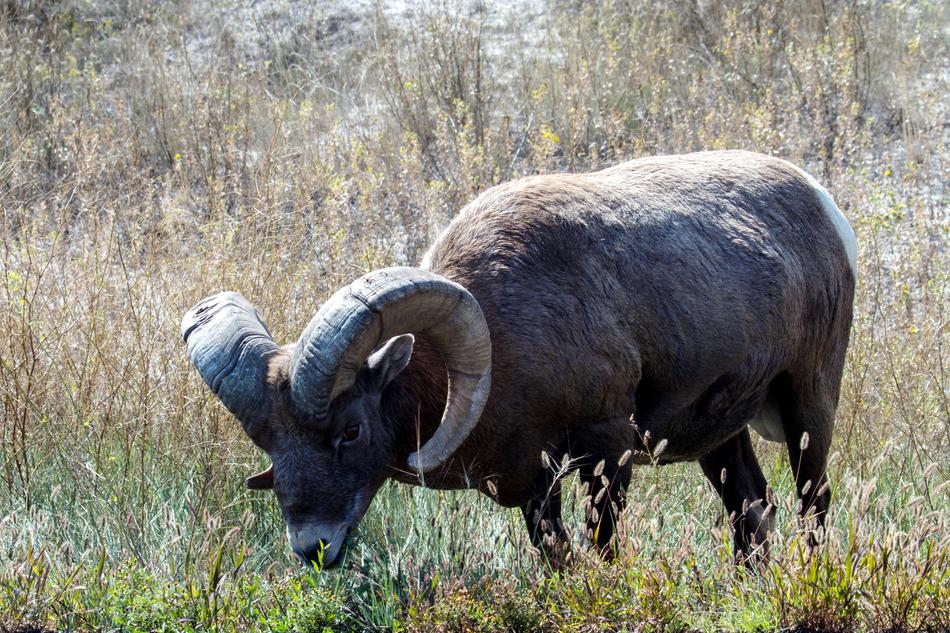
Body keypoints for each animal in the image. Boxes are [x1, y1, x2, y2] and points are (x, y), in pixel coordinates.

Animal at [182, 150, 856, 566]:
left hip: (808, 404)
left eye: (350, 430)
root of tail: (824, 206)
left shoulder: (606, 454)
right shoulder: (536, 488)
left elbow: (603, 548)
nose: (312, 548)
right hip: (720, 436)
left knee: (812, 501)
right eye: (269, 443)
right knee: (751, 509)